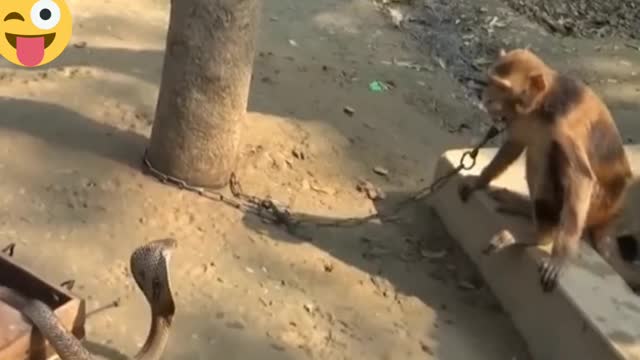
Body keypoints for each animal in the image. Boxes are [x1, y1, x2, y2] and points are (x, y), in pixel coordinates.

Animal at [458, 48, 632, 292]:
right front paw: (478, 182)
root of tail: (613, 214)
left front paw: (559, 258)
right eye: (490, 81)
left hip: (598, 205)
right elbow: (515, 144)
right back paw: (524, 207)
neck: (541, 107)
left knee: (552, 154)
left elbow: (581, 176)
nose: (487, 97)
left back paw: (541, 237)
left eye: (502, 87)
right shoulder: (520, 120)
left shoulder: (565, 123)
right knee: (537, 149)